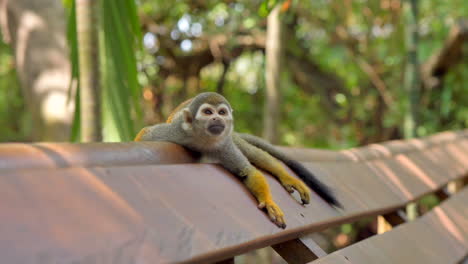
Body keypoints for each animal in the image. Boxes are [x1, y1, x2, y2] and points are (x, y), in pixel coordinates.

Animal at [135, 92, 340, 227]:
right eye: (208, 113)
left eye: (222, 113)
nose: (218, 119)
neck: (203, 140)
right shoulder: (174, 133)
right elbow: (145, 134)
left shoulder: (225, 145)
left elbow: (248, 172)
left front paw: (269, 203)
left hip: (231, 137)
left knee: (255, 154)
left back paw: (285, 176)